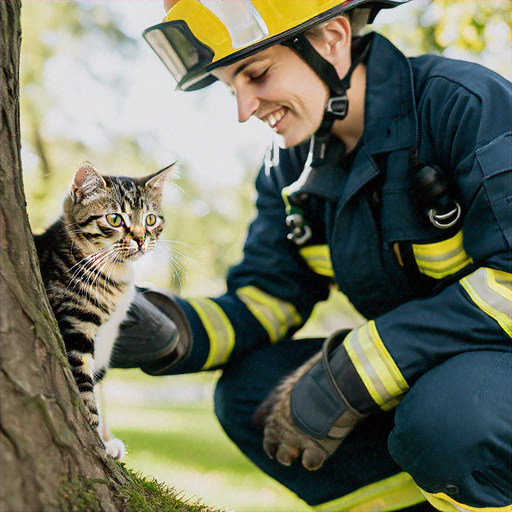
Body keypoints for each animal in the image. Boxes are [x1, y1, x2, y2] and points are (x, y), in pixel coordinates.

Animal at [34, 162, 174, 458]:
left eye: (150, 220)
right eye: (114, 219)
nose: (141, 239)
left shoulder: (108, 337)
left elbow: (97, 383)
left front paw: (106, 439)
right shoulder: (75, 324)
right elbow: (85, 385)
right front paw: (96, 434)